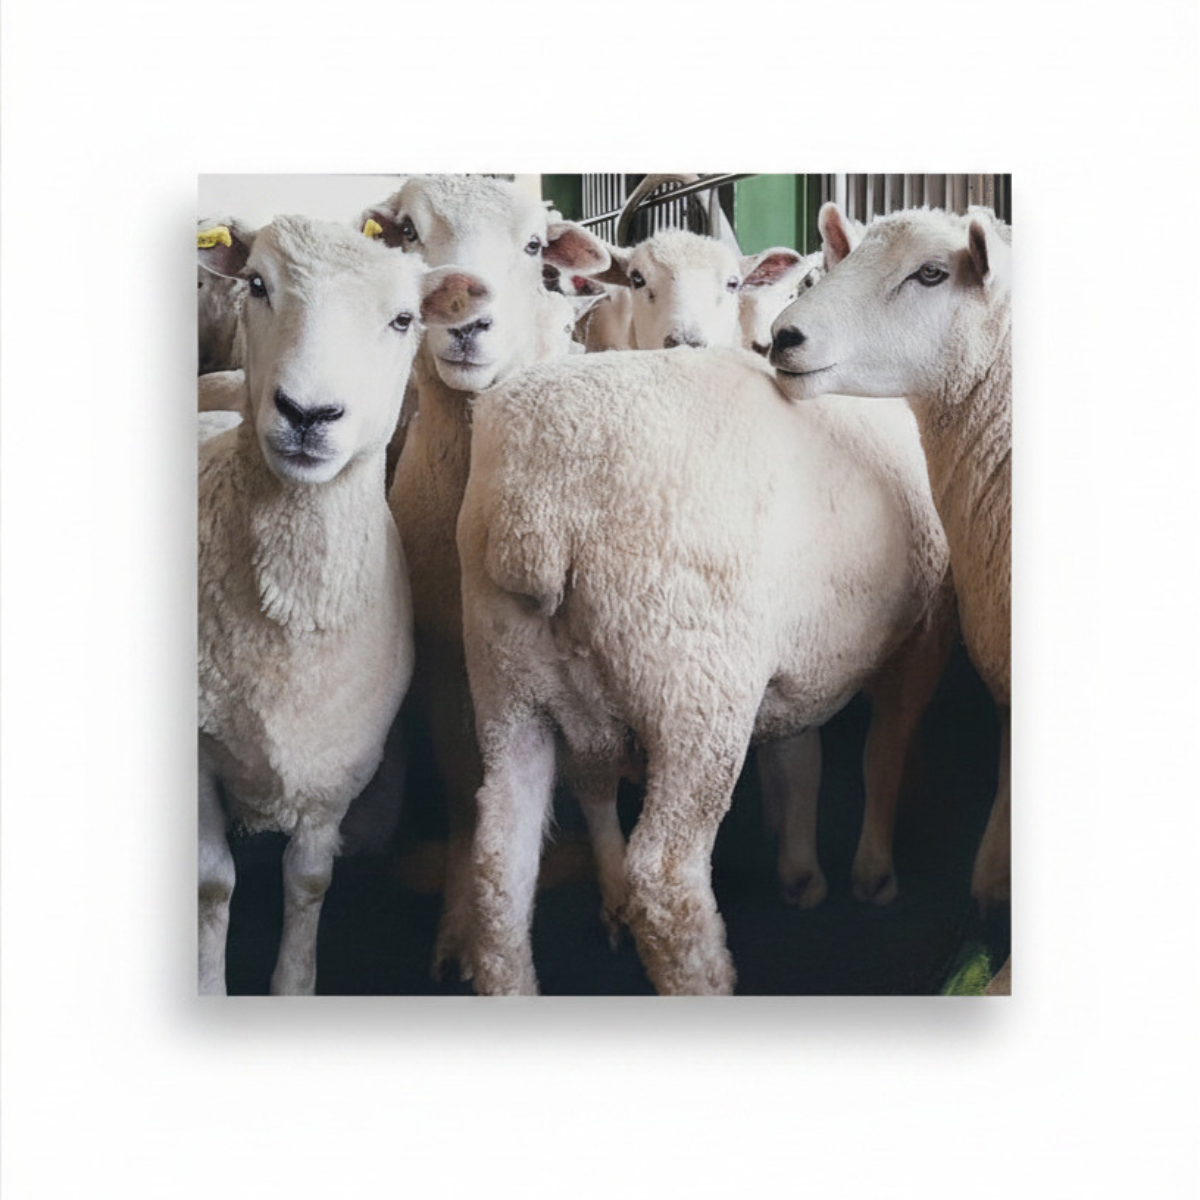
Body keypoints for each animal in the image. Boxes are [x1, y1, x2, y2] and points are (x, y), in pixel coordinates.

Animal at [196, 213, 490, 994]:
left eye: (403, 319)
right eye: (257, 285)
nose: (307, 412)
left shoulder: (338, 763)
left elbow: (307, 883)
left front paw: (293, 984)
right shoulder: (198, 759)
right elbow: (212, 883)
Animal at [360, 175, 611, 977]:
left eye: (534, 244)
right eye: (407, 230)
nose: (469, 322)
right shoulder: (443, 654)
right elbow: (460, 778)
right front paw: (458, 924)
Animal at [456, 346, 952, 994]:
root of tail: (538, 508)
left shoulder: (794, 665)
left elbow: (801, 756)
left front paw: (799, 870)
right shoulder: (922, 636)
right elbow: (883, 751)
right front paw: (873, 873)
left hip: (508, 690)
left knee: (498, 868)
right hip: (693, 690)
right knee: (666, 880)